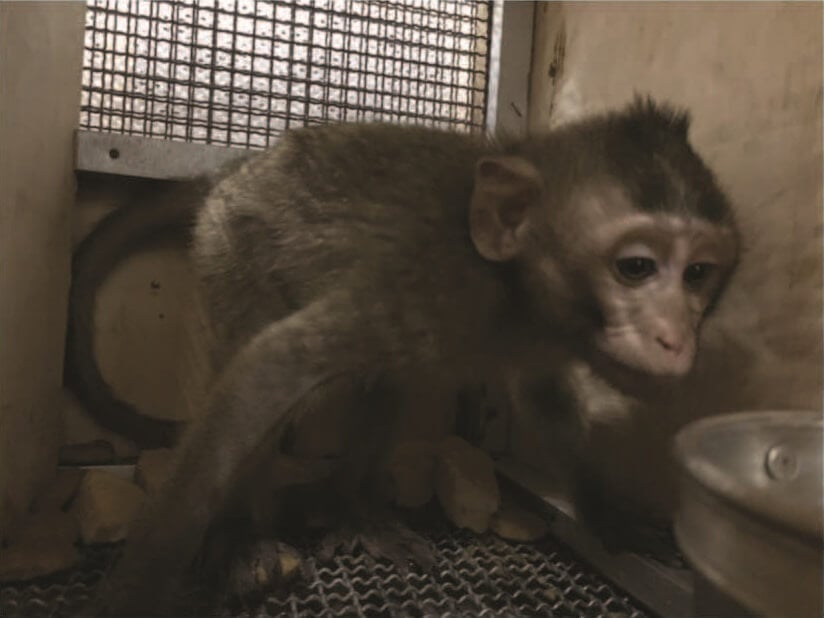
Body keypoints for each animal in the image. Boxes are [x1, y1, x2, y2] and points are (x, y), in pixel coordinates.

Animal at [69, 97, 738, 615]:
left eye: (697, 274)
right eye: (636, 267)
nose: (677, 336)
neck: (508, 284)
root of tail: (235, 171)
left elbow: (543, 397)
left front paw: (608, 513)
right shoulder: (424, 281)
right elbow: (269, 367)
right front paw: (133, 595)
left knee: (386, 381)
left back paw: (352, 510)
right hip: (230, 244)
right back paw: (240, 535)